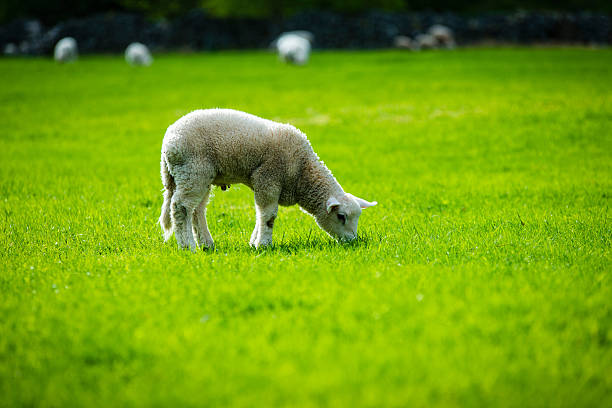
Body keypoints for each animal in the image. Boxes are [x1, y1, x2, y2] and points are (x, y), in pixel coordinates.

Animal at [158, 108, 378, 250]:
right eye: (341, 216)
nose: (352, 241)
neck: (302, 171)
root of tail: (168, 141)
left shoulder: (265, 184)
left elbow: (260, 214)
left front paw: (254, 242)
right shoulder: (269, 178)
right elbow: (269, 215)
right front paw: (263, 245)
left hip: (198, 175)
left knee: (197, 210)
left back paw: (206, 244)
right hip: (193, 170)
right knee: (180, 208)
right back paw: (188, 246)